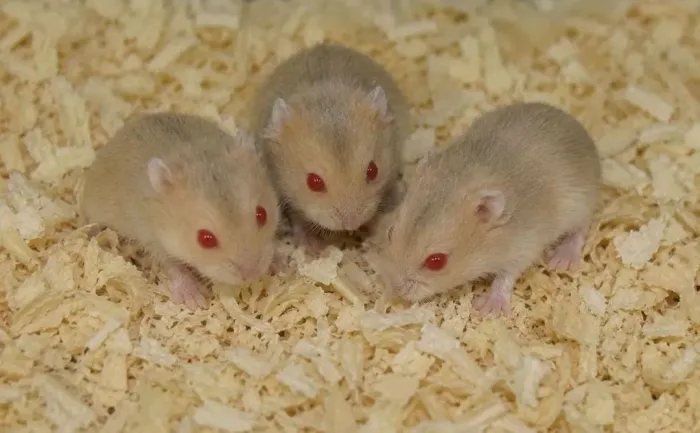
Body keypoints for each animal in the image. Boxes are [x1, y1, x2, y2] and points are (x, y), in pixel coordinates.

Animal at [80, 112, 280, 310]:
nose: (252, 274)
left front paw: (276, 266)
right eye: (206, 239)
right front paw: (196, 300)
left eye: (262, 214)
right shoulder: (152, 240)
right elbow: (173, 266)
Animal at [377, 102, 601, 317]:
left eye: (436, 261)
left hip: (581, 204)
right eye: (389, 233)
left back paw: (561, 260)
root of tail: (579, 129)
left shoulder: (523, 247)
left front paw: (485, 309)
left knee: (581, 229)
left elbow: (506, 276)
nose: (396, 290)